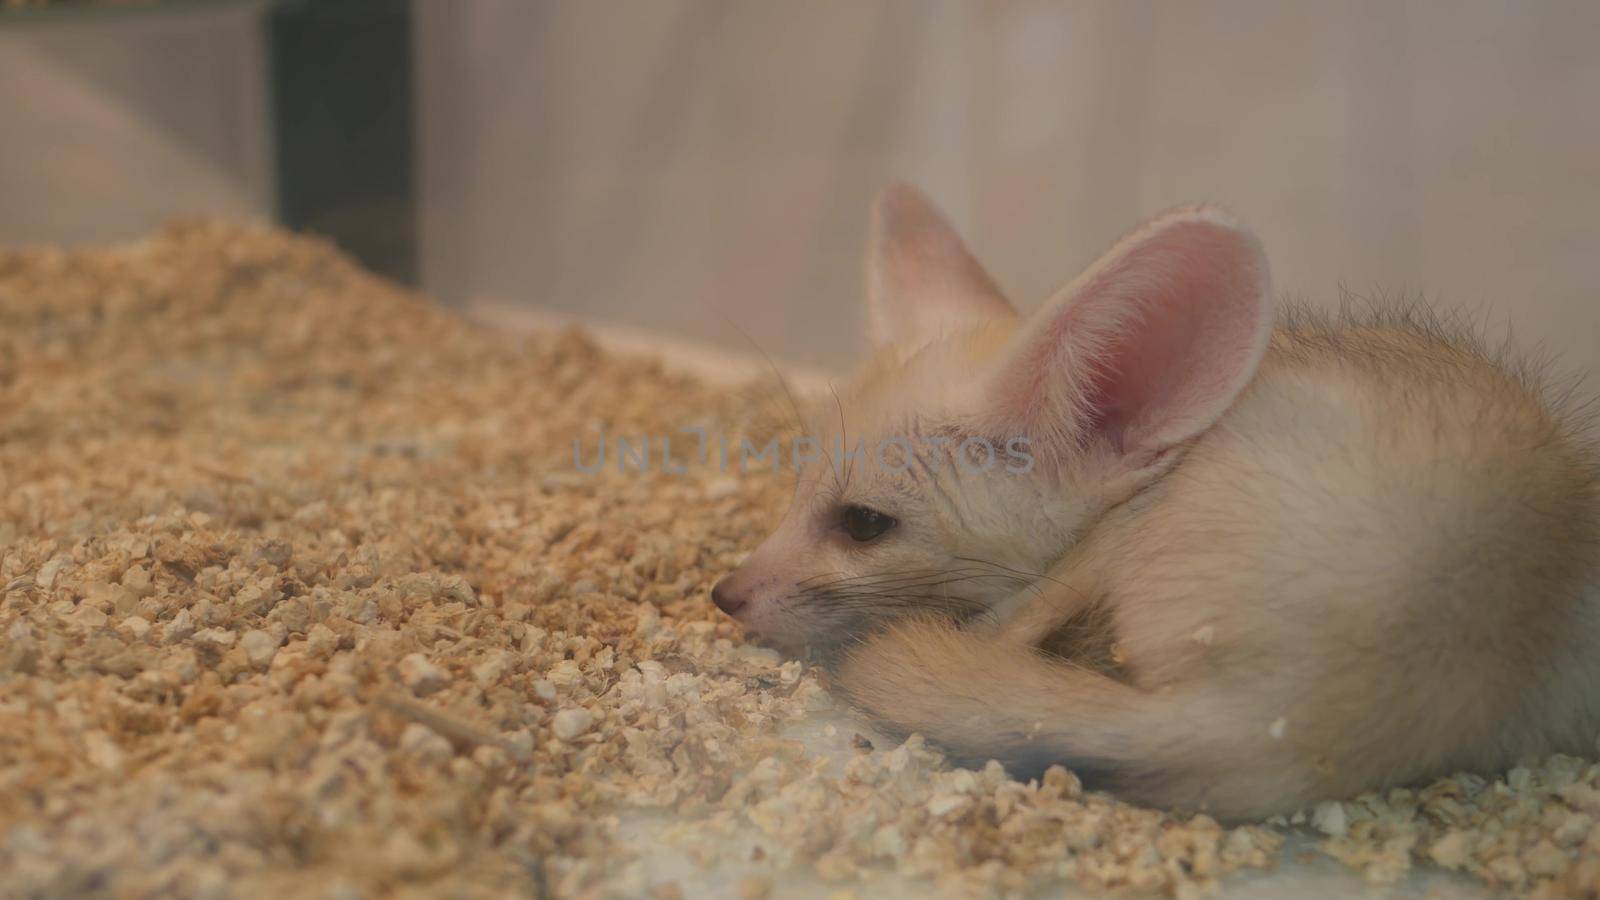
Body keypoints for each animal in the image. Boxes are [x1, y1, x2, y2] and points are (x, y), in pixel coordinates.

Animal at [713, 184, 1600, 819]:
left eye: (863, 525)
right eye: (795, 486)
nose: (724, 595)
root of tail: (1302, 713)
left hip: (1140, 534)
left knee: (1011, 636)